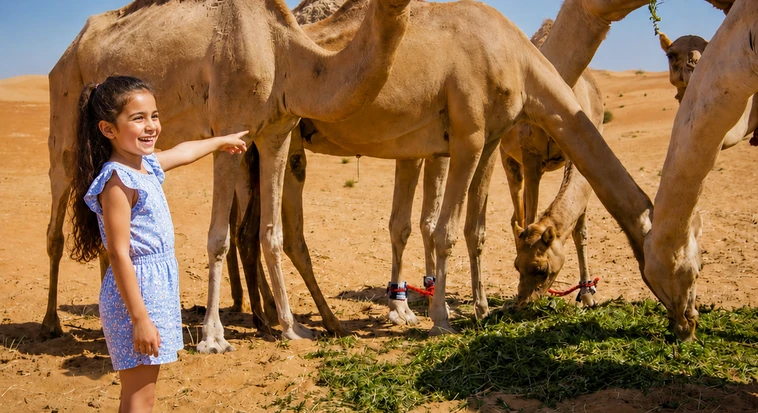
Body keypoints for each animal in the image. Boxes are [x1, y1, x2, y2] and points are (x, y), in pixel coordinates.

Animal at [42, 0, 414, 350]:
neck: (282, 50)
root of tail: (65, 54)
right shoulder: (230, 128)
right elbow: (219, 238)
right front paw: (213, 337)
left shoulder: (277, 133)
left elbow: (273, 234)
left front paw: (292, 327)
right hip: (65, 114)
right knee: (57, 213)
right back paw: (50, 323)